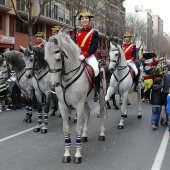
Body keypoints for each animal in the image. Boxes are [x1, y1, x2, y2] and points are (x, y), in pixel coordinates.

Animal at [44, 30, 107, 163]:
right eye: (46, 60)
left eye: (58, 59)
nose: (53, 84)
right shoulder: (63, 105)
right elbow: (66, 129)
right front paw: (67, 154)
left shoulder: (78, 105)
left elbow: (78, 127)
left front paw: (77, 155)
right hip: (85, 101)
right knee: (88, 112)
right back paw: (84, 135)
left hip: (101, 97)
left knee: (102, 112)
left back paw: (102, 134)